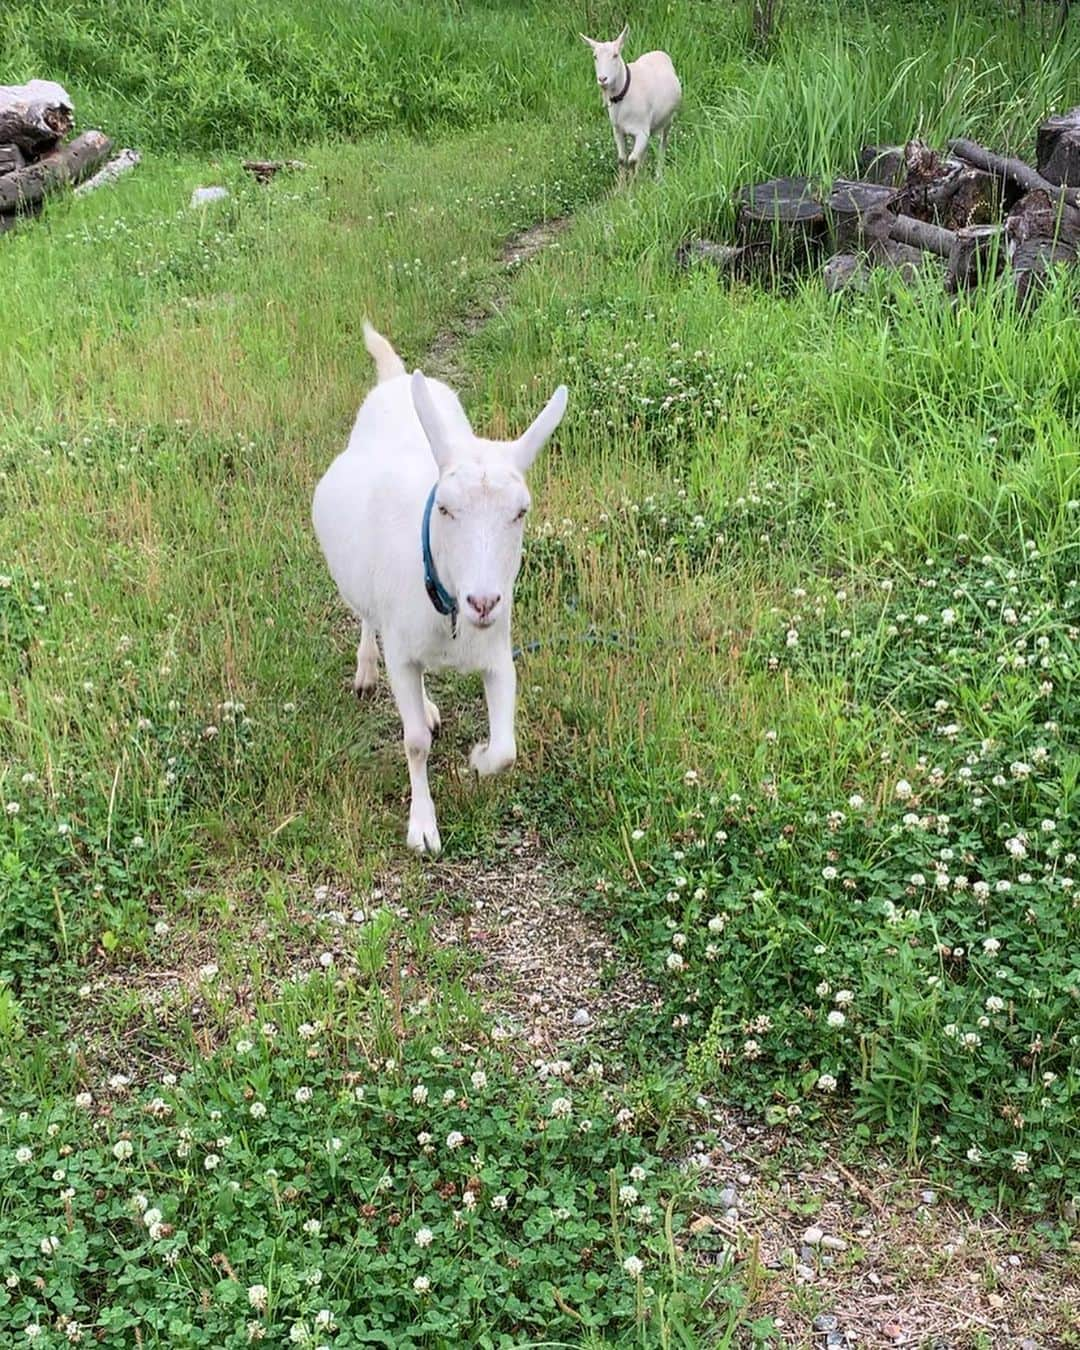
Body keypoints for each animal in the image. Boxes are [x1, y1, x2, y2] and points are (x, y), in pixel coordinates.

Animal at [310, 324, 564, 853]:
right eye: (444, 508)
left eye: (521, 512)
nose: (483, 602)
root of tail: (395, 380)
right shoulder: (403, 652)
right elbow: (413, 744)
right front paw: (423, 827)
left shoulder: (497, 652)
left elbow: (507, 748)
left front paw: (479, 757)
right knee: (367, 617)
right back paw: (367, 670)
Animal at [577, 24, 680, 179]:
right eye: (595, 56)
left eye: (615, 55)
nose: (602, 79)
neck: (623, 95)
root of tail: (659, 53)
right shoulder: (618, 130)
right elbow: (622, 159)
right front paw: (622, 185)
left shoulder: (642, 131)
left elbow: (632, 161)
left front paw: (633, 184)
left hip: (668, 119)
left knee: (663, 143)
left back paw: (658, 176)